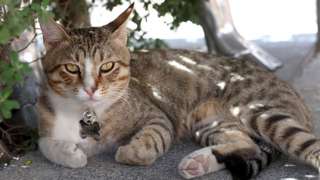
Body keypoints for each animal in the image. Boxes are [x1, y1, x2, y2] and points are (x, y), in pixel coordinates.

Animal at [37, 3, 320, 179]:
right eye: (71, 68)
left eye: (107, 67)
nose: (91, 89)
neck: (86, 112)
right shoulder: (45, 121)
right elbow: (45, 144)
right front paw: (69, 153)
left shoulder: (157, 116)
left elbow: (150, 141)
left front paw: (129, 151)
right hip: (209, 123)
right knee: (247, 144)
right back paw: (198, 162)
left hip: (258, 111)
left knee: (307, 145)